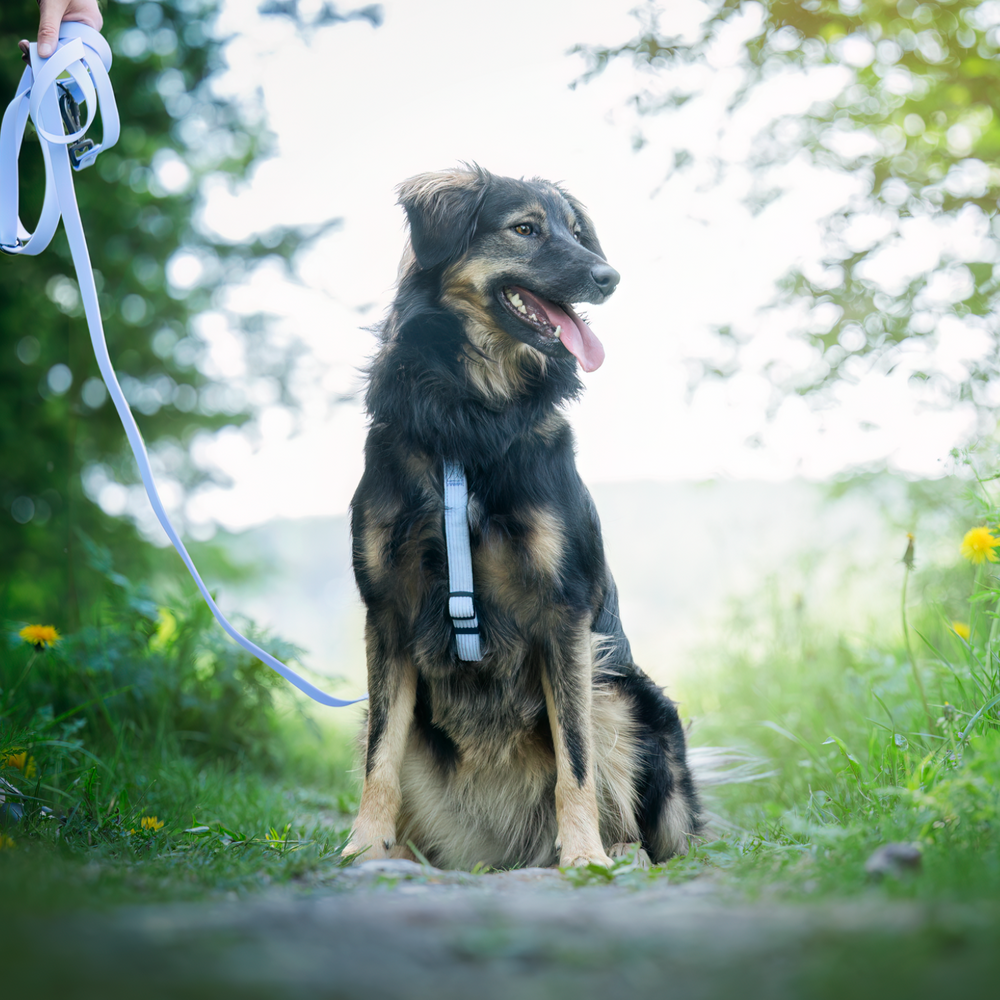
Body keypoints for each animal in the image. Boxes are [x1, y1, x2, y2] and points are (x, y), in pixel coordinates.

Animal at [346, 164, 704, 868]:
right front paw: (362, 846)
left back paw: (620, 851)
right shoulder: (388, 611)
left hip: (625, 693)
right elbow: (380, 756)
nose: (609, 277)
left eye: (576, 231)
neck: (469, 417)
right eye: (525, 229)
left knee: (660, 832)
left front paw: (585, 856)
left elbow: (577, 760)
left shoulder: (564, 611)